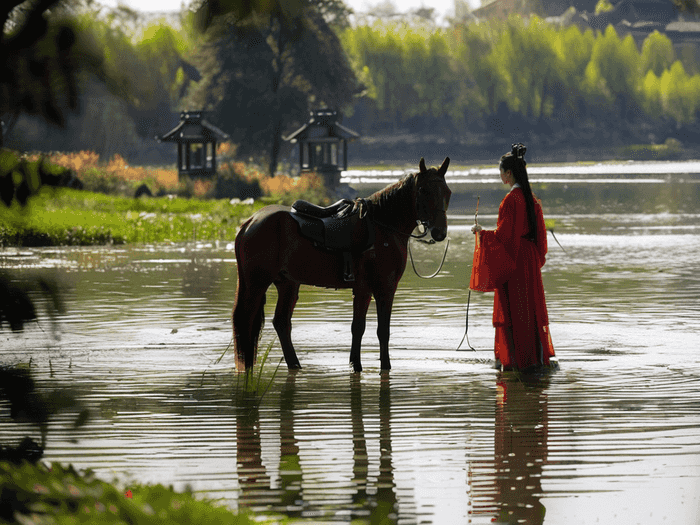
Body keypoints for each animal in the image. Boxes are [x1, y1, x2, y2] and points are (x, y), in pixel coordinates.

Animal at [232, 157, 452, 372]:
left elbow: (358, 328)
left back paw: (293, 364)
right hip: (257, 283)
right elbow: (379, 330)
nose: (439, 232)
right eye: (423, 190)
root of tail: (250, 222)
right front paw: (383, 366)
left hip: (287, 284)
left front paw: (356, 364)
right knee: (247, 320)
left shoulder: (365, 289)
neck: (383, 228)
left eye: (447, 192)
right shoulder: (382, 288)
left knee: (281, 322)